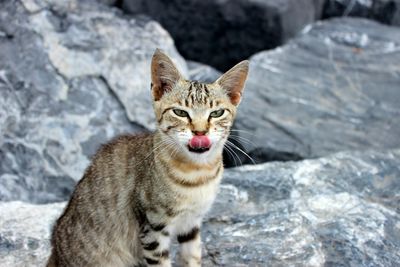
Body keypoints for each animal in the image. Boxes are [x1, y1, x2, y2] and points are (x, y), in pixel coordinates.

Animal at [48, 49, 248, 266]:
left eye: (217, 113)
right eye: (180, 112)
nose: (200, 132)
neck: (197, 174)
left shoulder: (192, 223)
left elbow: (192, 257)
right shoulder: (153, 228)